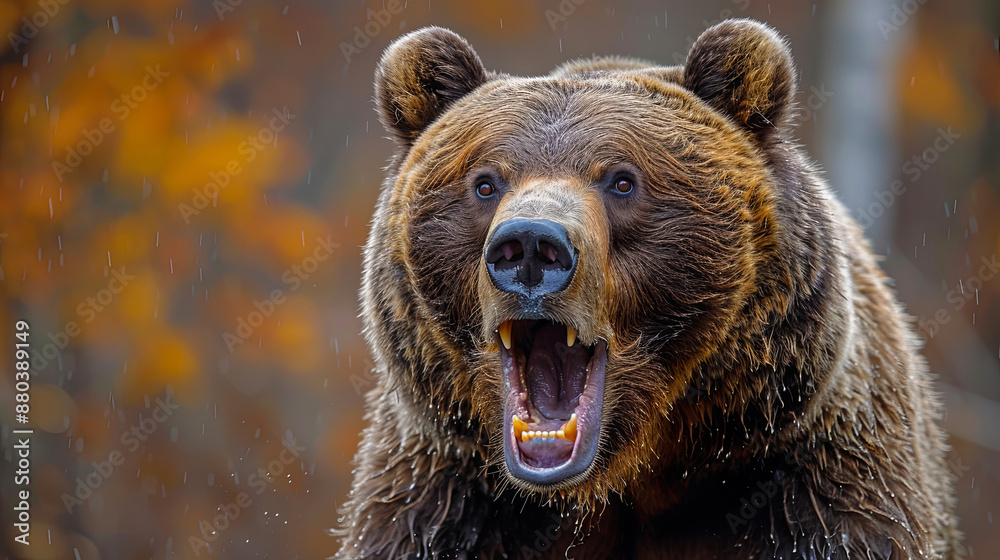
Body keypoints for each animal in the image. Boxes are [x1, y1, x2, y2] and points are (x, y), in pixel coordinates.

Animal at [335, 19, 962, 560]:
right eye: (485, 182)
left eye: (621, 180)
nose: (531, 247)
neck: (628, 480)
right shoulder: (446, 501)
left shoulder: (809, 480)